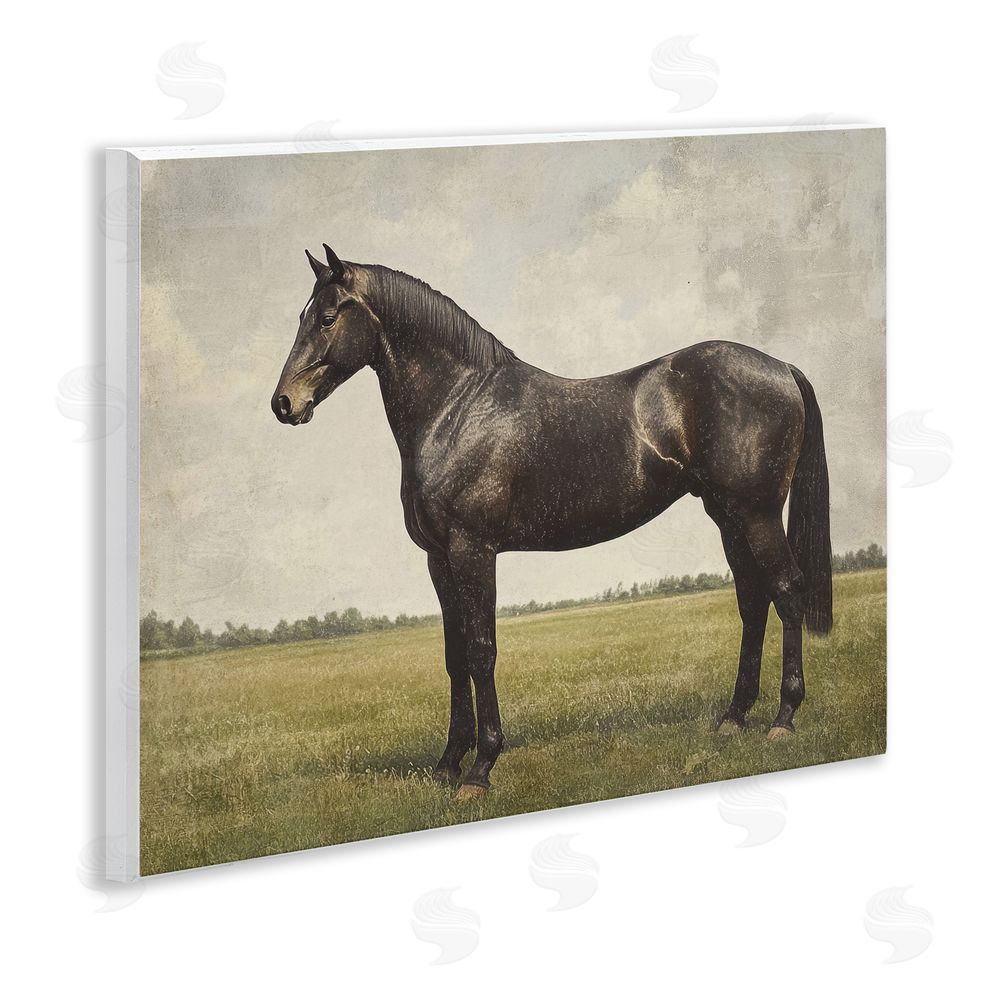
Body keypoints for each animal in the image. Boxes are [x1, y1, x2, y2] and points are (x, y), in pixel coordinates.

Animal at [272, 244, 832, 801]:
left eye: (327, 318)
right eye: (301, 316)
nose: (283, 403)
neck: (458, 407)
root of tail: (780, 367)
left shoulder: (472, 551)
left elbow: (481, 651)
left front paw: (480, 768)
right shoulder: (438, 559)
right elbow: (454, 656)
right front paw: (448, 763)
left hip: (757, 513)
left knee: (786, 590)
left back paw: (783, 718)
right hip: (727, 515)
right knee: (752, 601)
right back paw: (733, 718)